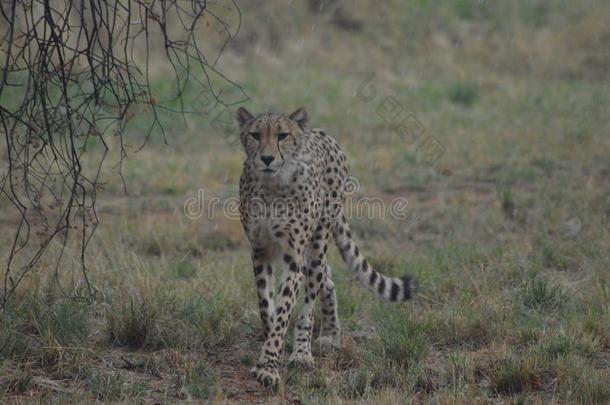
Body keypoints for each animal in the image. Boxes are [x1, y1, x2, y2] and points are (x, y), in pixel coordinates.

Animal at [235, 105, 416, 386]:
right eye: (255, 135)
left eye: (282, 136)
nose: (266, 159)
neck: (271, 187)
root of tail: (322, 132)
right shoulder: (260, 251)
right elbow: (267, 306)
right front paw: (268, 348)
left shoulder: (293, 257)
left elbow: (285, 310)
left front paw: (269, 365)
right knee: (326, 280)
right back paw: (329, 334)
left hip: (318, 241)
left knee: (311, 299)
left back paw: (304, 351)